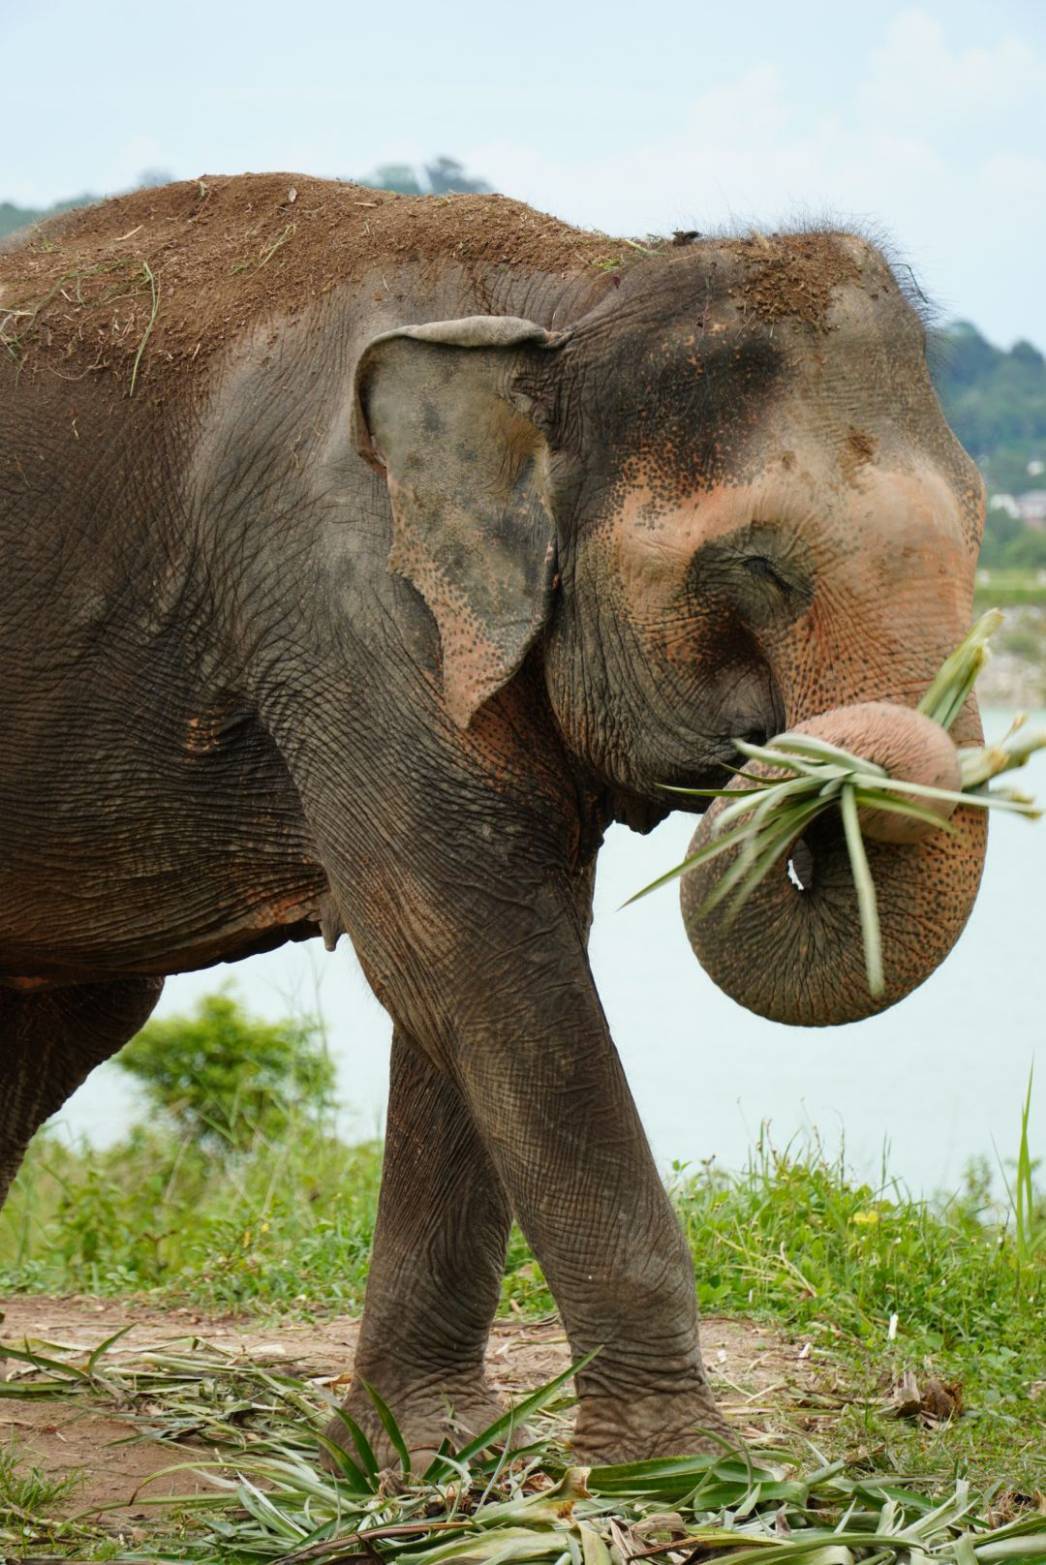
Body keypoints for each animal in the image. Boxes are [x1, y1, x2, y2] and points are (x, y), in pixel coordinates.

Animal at [0, 174, 986, 1465]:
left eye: (985, 527)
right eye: (756, 567)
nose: (810, 793)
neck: (580, 285)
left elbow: (473, 977)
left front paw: (416, 1452)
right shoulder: (339, 595)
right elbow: (465, 949)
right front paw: (681, 1470)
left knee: (69, 1015)